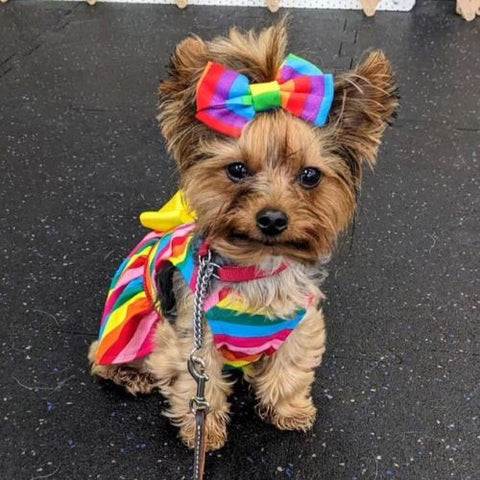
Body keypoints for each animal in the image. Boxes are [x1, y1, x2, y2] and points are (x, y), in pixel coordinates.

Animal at [87, 21, 398, 450]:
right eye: (237, 170)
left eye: (310, 175)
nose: (272, 219)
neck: (257, 265)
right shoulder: (193, 339)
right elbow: (198, 385)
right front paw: (204, 432)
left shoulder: (299, 326)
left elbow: (289, 370)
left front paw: (288, 411)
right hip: (133, 319)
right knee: (100, 356)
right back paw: (128, 374)